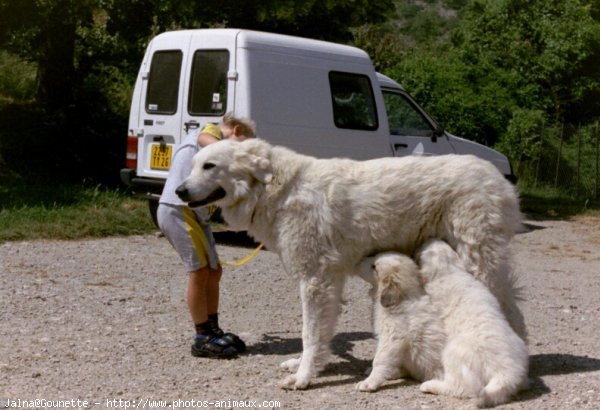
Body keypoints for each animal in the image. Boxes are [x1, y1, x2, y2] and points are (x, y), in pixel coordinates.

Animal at [356, 251, 446, 392]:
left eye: (374, 267)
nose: (358, 261)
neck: (402, 298)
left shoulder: (392, 337)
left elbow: (379, 360)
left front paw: (369, 382)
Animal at [414, 240, 528, 406]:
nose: (425, 240)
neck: (450, 271)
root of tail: (507, 373)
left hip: (453, 354)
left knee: (458, 388)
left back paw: (430, 385)